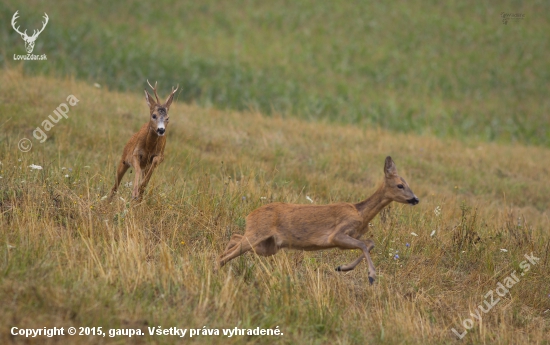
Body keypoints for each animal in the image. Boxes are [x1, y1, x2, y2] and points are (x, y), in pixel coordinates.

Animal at [218, 155, 420, 282]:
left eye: (408, 184)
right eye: (400, 185)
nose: (415, 199)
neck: (360, 213)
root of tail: (250, 215)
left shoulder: (351, 235)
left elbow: (369, 243)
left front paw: (342, 267)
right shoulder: (336, 235)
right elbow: (364, 245)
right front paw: (371, 275)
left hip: (268, 246)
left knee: (235, 237)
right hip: (258, 234)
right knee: (233, 246)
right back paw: (216, 266)